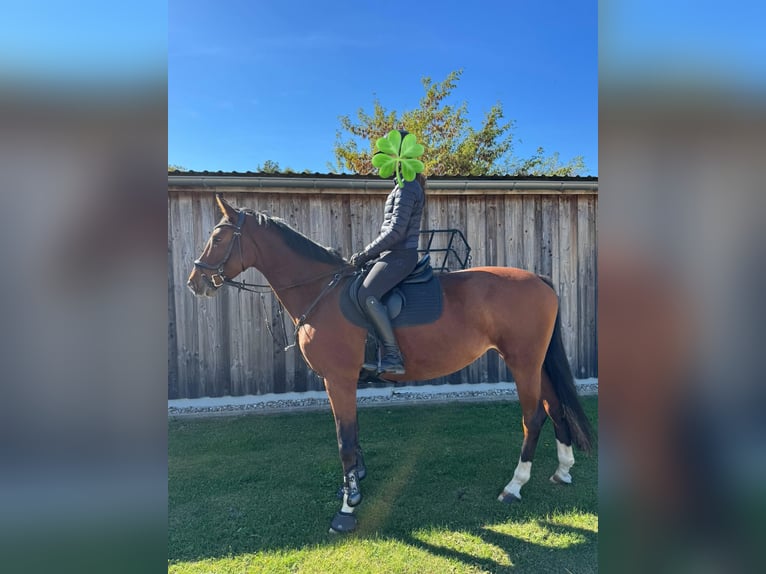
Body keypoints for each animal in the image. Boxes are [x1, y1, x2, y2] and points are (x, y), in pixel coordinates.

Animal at [187, 194, 593, 534]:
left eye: (219, 239)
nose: (195, 282)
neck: (323, 292)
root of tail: (539, 279)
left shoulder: (337, 379)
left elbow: (344, 441)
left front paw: (347, 509)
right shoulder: (341, 382)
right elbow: (351, 437)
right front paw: (354, 484)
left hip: (522, 362)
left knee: (533, 417)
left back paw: (515, 485)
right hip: (535, 362)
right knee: (554, 407)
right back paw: (563, 470)